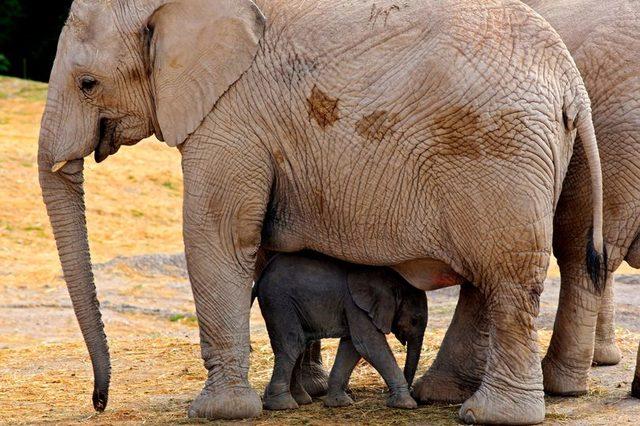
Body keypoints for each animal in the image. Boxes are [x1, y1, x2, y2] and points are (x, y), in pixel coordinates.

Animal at [252, 251, 428, 412]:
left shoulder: (354, 308)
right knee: (292, 344)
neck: (391, 280)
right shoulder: (356, 306)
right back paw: (283, 406)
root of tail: (262, 274)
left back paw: (301, 400)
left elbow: (352, 347)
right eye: (414, 320)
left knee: (299, 346)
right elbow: (368, 344)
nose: (412, 391)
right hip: (279, 302)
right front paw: (406, 404)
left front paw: (340, 403)